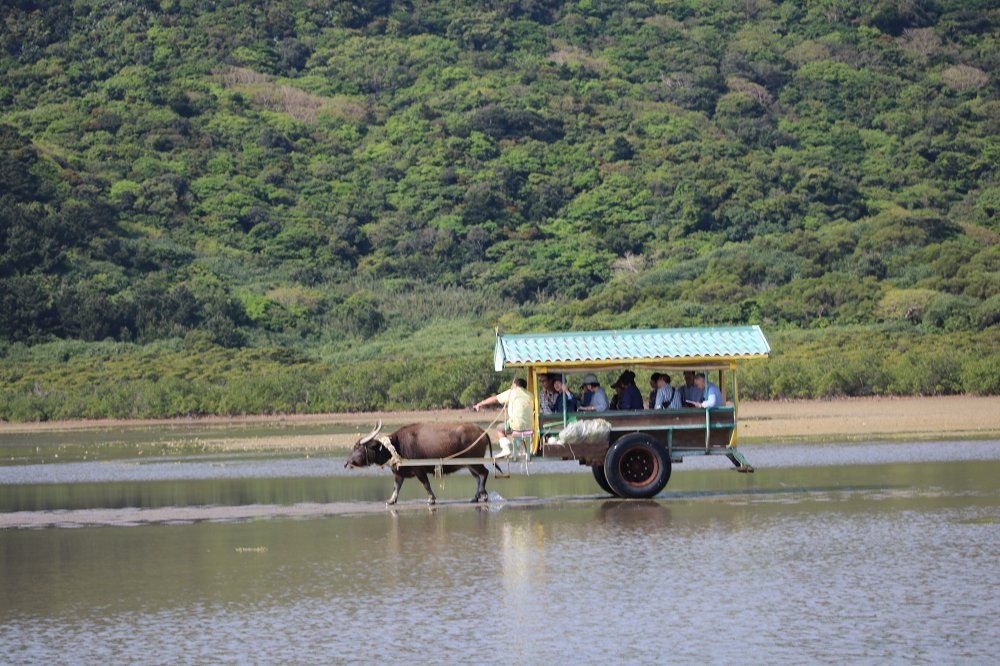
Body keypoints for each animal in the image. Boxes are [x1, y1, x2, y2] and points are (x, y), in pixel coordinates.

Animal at [344, 420, 492, 504]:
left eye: (357, 447)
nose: (347, 462)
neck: (395, 447)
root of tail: (481, 431)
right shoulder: (399, 473)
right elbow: (396, 487)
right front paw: (391, 500)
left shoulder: (419, 469)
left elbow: (426, 484)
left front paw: (431, 499)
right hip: (469, 464)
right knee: (477, 478)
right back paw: (475, 497)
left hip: (474, 462)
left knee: (484, 473)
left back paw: (484, 494)